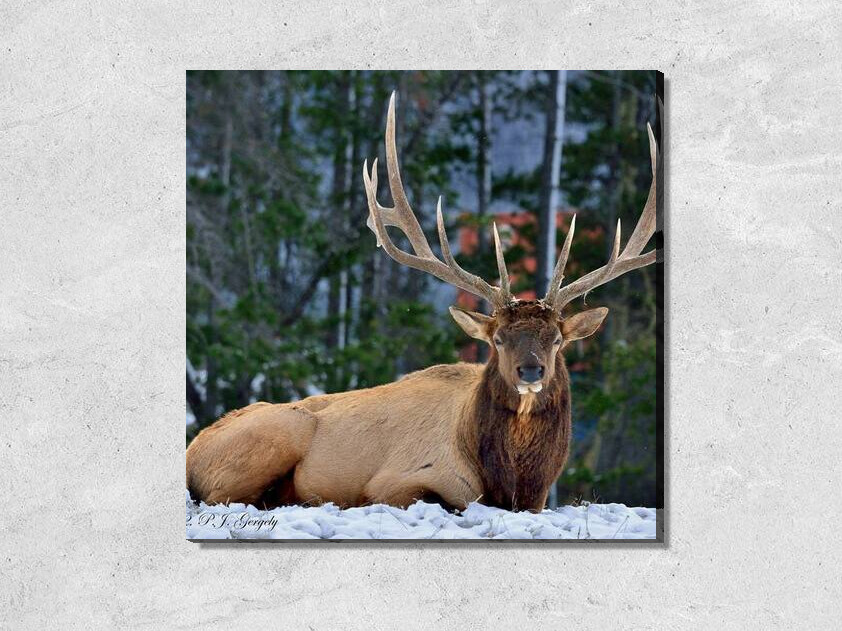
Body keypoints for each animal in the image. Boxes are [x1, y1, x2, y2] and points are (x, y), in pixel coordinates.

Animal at [186, 92, 659, 513]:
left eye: (557, 341)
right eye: (498, 340)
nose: (531, 371)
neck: (512, 480)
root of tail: (192, 451)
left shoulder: (538, 500)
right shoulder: (398, 480)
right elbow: (445, 500)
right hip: (278, 433)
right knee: (223, 496)